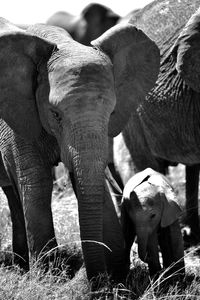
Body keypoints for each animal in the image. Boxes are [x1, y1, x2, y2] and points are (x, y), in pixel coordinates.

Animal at [0, 17, 160, 282]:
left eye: (112, 113)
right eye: (55, 114)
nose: (95, 280)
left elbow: (87, 180)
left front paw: (115, 275)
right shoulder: (17, 117)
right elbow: (37, 183)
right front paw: (47, 278)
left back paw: (21, 266)